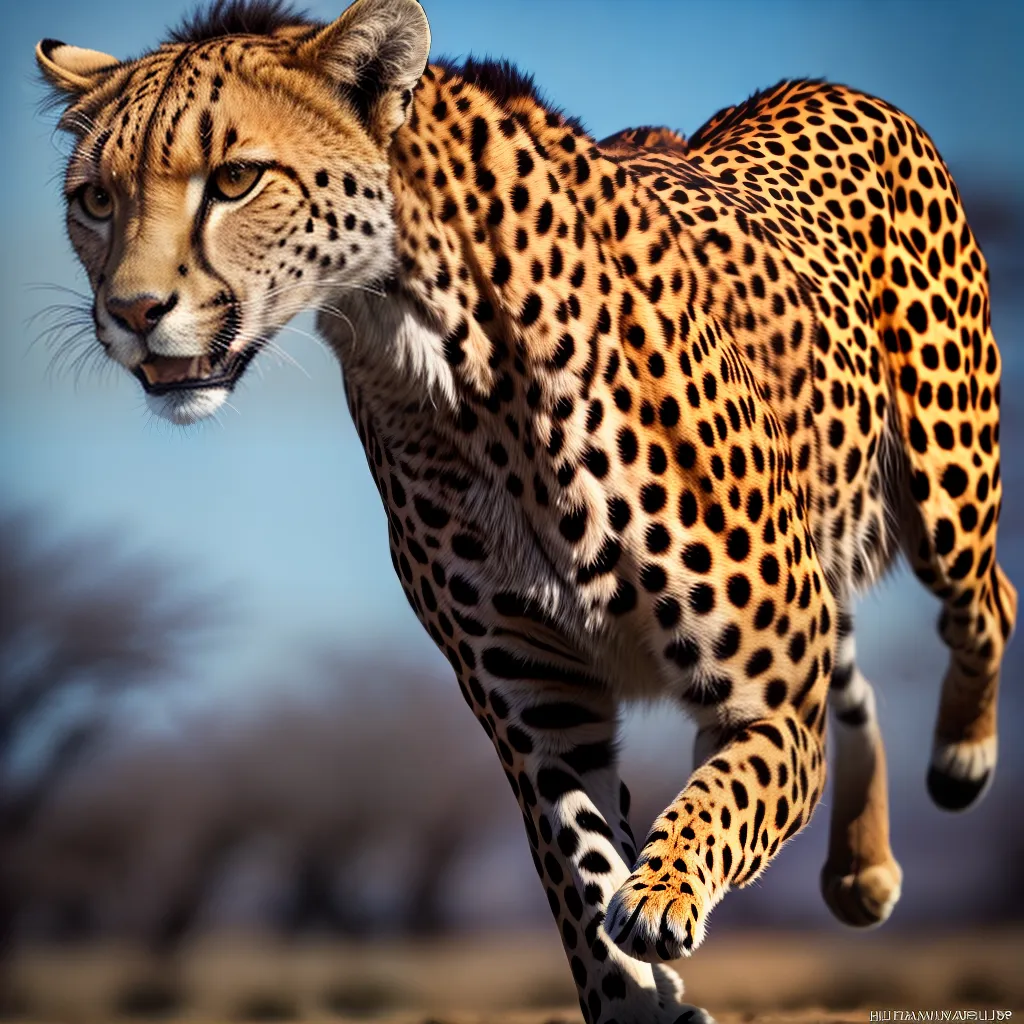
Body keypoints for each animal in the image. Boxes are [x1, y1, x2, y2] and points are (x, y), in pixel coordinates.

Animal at [35, 0, 1016, 1020]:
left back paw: (962, 759)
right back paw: (861, 874)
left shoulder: (769, 704)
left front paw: (661, 897)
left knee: (987, 603)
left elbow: (720, 800)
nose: (132, 312)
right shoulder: (540, 712)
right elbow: (575, 870)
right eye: (95, 200)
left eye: (234, 179)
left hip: (948, 492)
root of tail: (818, 86)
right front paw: (635, 996)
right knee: (859, 669)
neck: (437, 345)